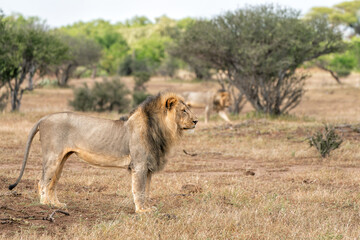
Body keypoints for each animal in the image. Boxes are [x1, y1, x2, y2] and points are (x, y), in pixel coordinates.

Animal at [8, 92, 198, 214]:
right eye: (183, 111)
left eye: (188, 109)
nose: (196, 121)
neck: (161, 129)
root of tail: (43, 118)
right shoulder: (139, 165)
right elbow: (139, 189)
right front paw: (141, 211)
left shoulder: (148, 167)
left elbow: (147, 190)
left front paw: (148, 208)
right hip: (52, 156)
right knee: (42, 182)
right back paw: (46, 205)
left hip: (62, 159)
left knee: (52, 182)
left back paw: (57, 205)